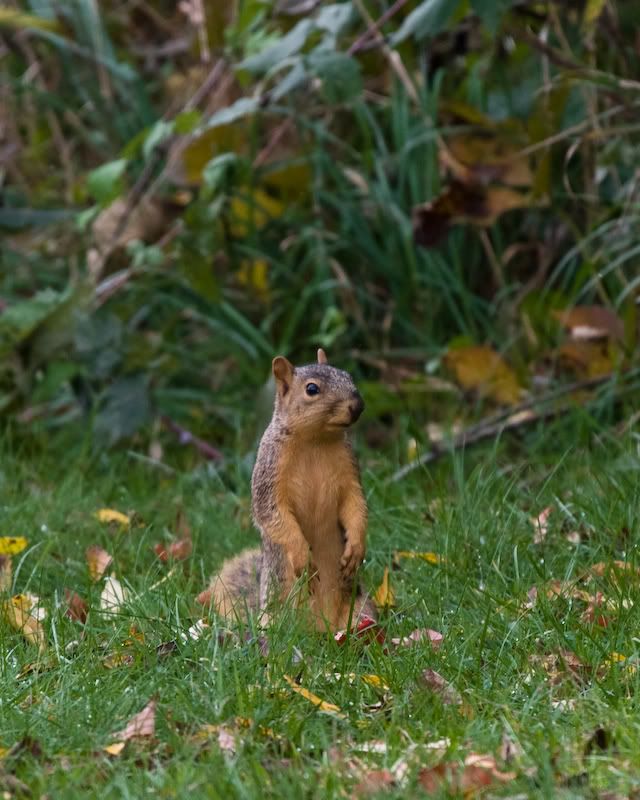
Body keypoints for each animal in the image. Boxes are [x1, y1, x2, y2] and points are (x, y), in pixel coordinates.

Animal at [204, 348, 376, 631]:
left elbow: (355, 505)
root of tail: (320, 628)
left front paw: (356, 547)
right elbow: (273, 514)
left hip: (361, 608)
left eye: (348, 376)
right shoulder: (269, 474)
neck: (315, 441)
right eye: (312, 389)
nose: (358, 405)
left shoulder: (349, 470)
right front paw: (302, 555)